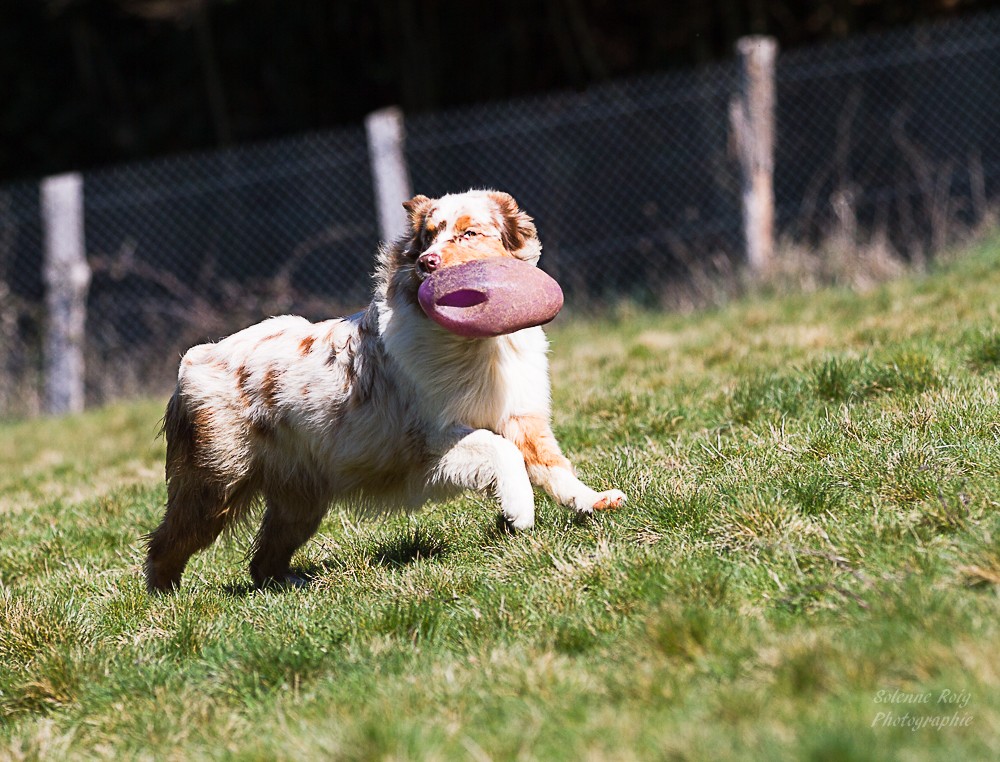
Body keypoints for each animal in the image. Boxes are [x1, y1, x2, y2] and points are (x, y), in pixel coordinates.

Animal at [144, 189, 626, 592]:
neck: (474, 344)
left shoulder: (521, 416)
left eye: (469, 233)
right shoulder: (435, 438)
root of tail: (193, 360)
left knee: (262, 559)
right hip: (216, 484)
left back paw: (292, 584)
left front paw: (593, 501)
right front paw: (519, 510)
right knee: (166, 541)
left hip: (300, 499)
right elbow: (500, 450)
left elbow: (553, 466)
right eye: (429, 236)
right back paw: (165, 598)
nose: (427, 262)